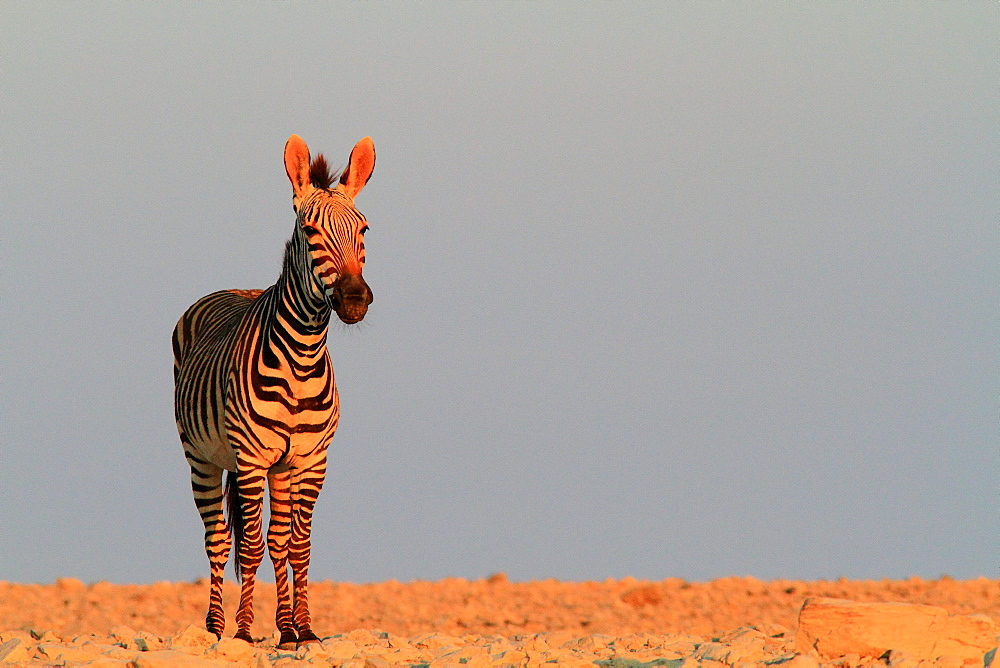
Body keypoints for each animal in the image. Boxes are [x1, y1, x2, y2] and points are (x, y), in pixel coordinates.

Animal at [172, 134, 376, 648]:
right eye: (309, 231)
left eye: (365, 230)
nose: (354, 300)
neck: (302, 357)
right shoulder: (249, 457)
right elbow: (251, 544)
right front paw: (245, 632)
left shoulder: (312, 459)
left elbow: (296, 543)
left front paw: (302, 630)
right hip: (202, 458)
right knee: (220, 538)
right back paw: (216, 628)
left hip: (279, 468)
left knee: (276, 537)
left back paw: (282, 626)